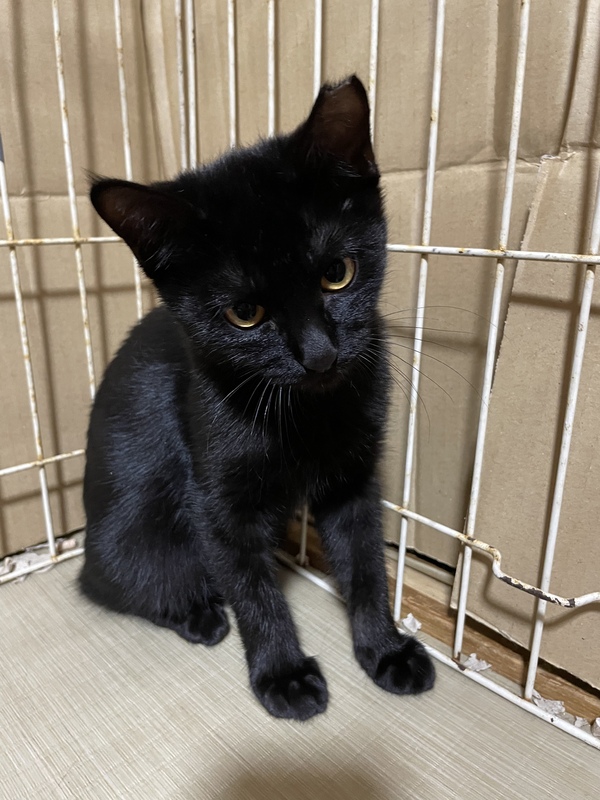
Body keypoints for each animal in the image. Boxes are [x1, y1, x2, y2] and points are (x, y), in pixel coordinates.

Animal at [80, 75, 435, 720]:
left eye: (338, 274)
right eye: (244, 313)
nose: (319, 355)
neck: (310, 415)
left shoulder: (354, 481)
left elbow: (366, 565)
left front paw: (384, 649)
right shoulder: (219, 506)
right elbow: (253, 590)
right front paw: (284, 675)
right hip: (136, 543)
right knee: (125, 584)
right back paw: (198, 616)